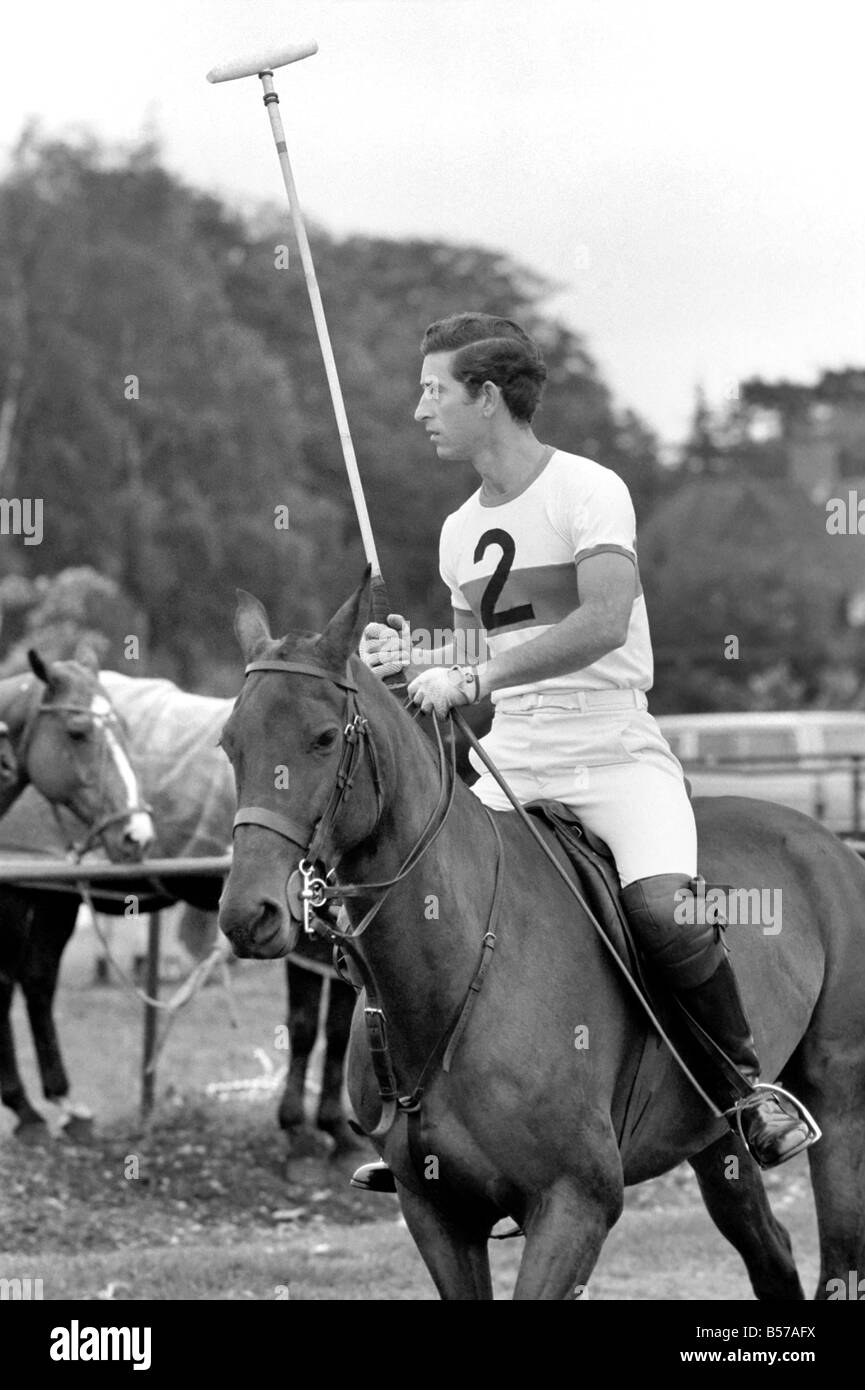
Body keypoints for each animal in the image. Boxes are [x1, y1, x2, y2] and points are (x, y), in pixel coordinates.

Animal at [222, 578, 865, 1301]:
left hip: (838, 1099)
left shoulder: (574, 1203)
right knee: (770, 1252)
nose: (249, 913)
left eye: (325, 737)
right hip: (711, 1136)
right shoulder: (435, 1212)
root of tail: (828, 841)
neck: (454, 974)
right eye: (229, 742)